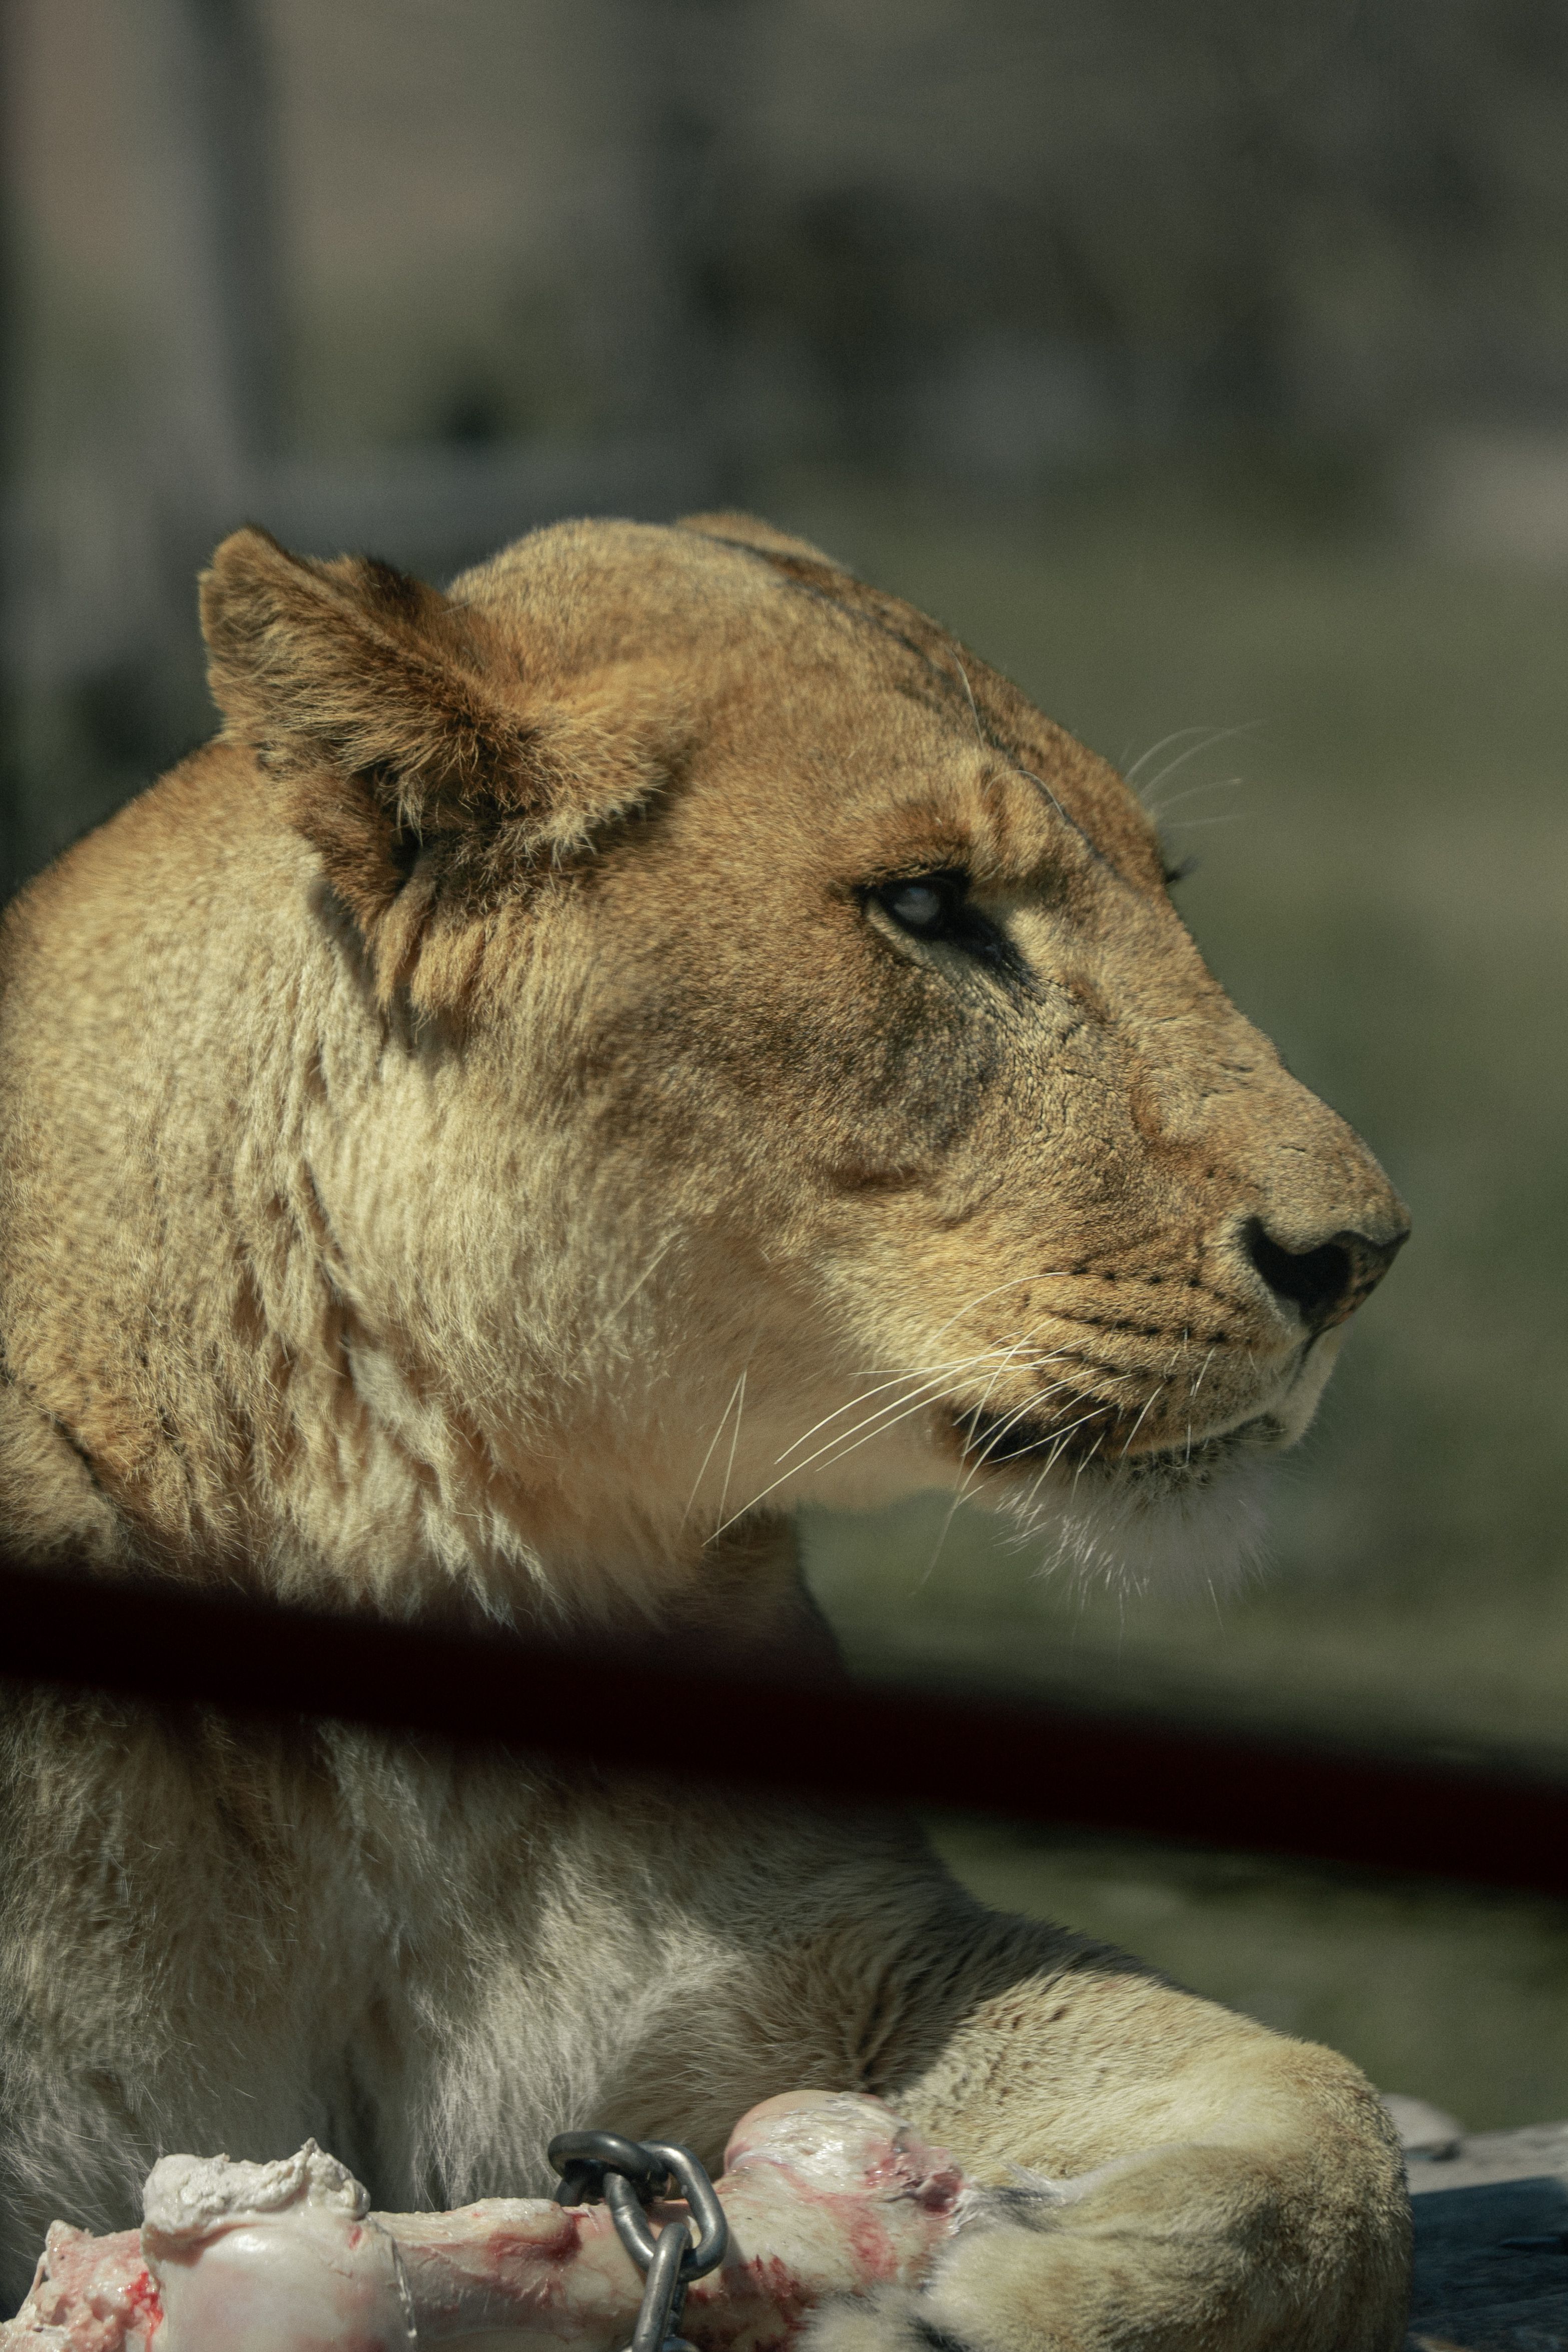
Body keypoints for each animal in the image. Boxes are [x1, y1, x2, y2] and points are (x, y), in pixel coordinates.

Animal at [0, 512, 1411, 2345]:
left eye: (1164, 892)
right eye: (925, 906)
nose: (1361, 1255)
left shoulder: (839, 1963)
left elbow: (1320, 2096)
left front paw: (1048, 2287)